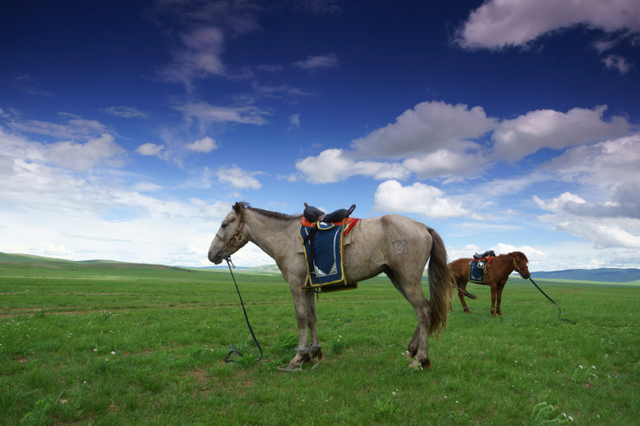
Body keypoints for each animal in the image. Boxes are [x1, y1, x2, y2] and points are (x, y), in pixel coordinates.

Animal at [208, 203, 452, 370]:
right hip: (396, 277)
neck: (285, 237)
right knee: (424, 309)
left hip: (407, 278)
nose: (211, 254)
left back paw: (420, 360)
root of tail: (424, 227)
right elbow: (311, 318)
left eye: (224, 224)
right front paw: (314, 353)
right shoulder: (306, 287)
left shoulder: (296, 285)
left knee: (424, 311)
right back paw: (411, 351)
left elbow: (300, 318)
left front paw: (298, 358)